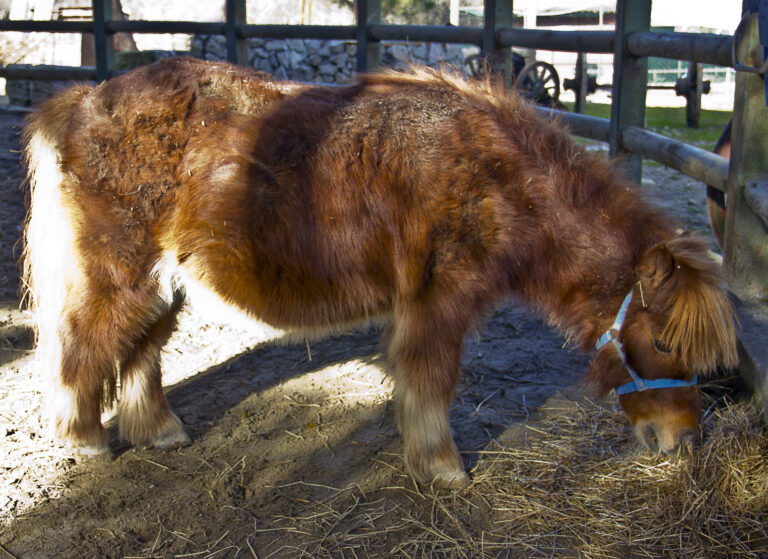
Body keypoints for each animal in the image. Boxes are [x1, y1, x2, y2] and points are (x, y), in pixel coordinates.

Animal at [21, 55, 736, 486]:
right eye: (664, 341)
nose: (681, 442)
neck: (499, 179)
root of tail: (85, 97)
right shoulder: (438, 302)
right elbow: (431, 380)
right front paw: (441, 468)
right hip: (118, 273)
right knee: (84, 342)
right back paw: (86, 443)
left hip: (161, 283)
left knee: (140, 349)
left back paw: (160, 433)